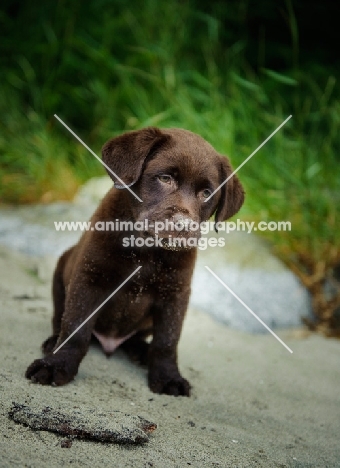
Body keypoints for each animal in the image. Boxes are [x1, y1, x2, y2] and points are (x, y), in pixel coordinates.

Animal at [26, 127, 244, 394]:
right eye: (165, 178)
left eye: (206, 193)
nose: (184, 226)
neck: (146, 249)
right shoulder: (90, 278)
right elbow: (75, 327)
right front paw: (56, 365)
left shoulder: (175, 294)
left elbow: (167, 341)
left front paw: (168, 377)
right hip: (62, 270)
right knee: (60, 318)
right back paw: (52, 342)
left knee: (138, 337)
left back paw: (141, 351)